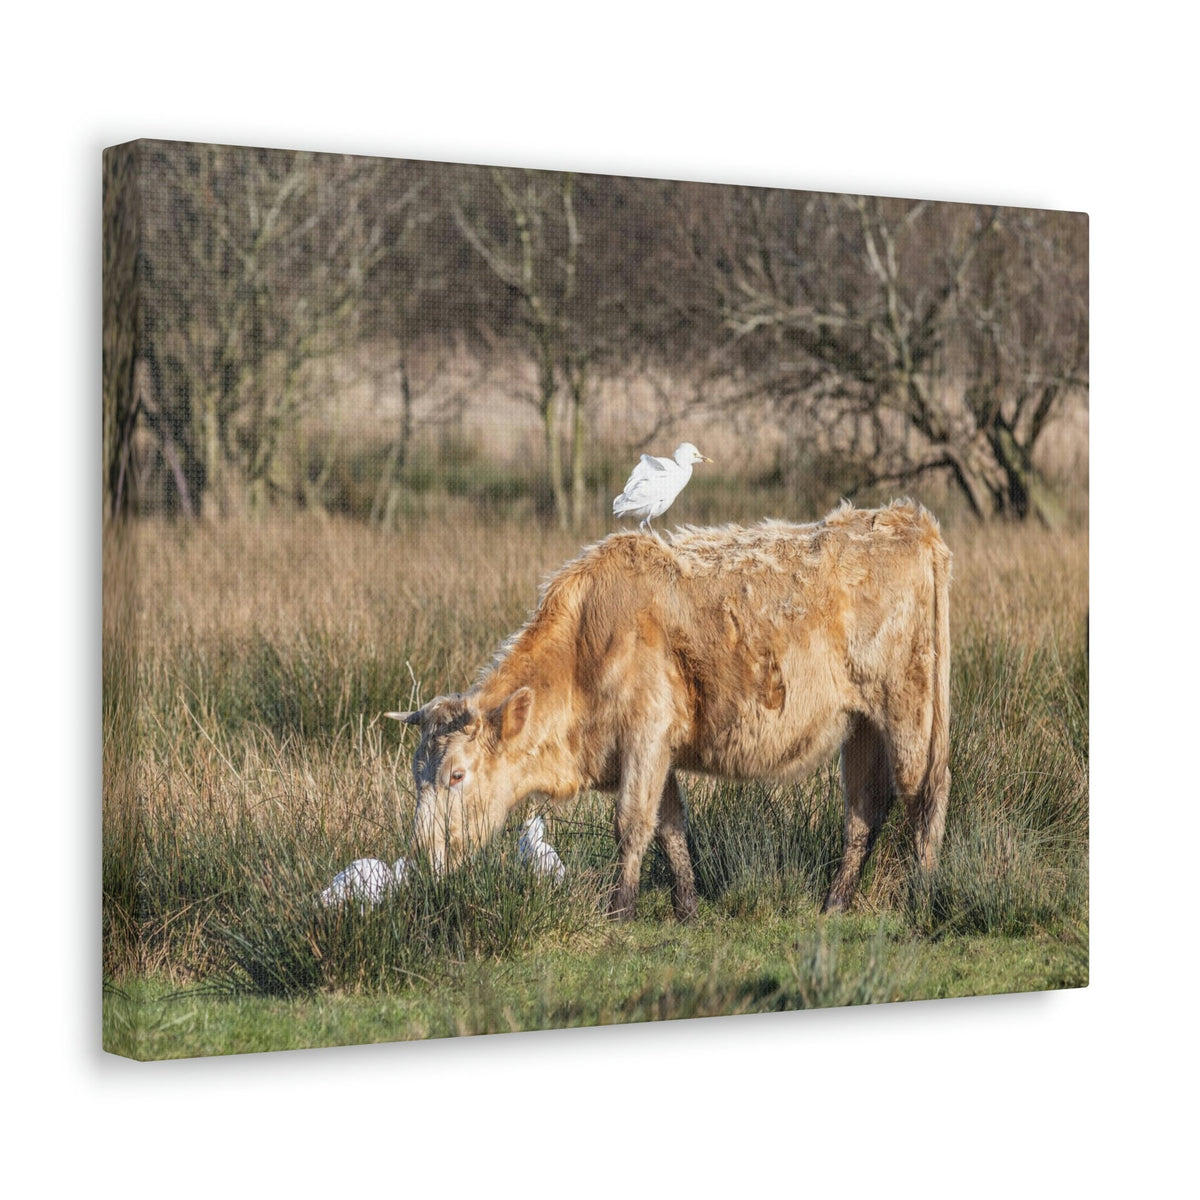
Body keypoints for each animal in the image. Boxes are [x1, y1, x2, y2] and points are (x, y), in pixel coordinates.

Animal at [391, 500, 951, 918]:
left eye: (457, 776)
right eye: (417, 776)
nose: (421, 859)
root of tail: (910, 519)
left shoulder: (646, 736)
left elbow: (632, 823)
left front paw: (619, 910)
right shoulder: (657, 753)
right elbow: (671, 828)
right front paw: (687, 909)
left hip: (910, 709)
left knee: (924, 792)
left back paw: (921, 892)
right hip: (862, 725)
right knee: (863, 809)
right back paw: (835, 902)